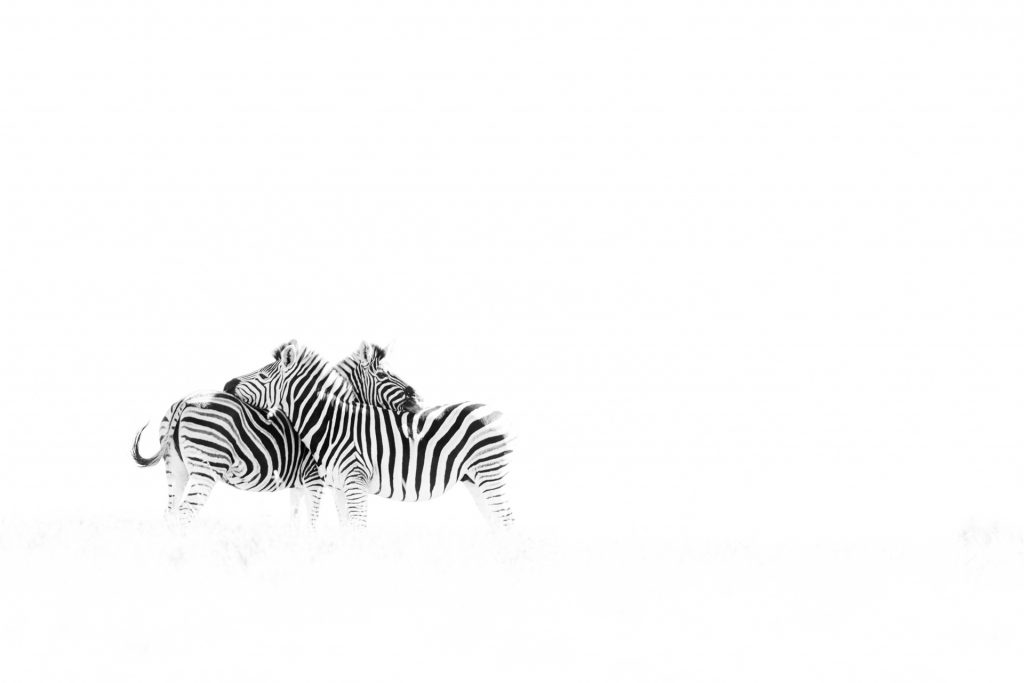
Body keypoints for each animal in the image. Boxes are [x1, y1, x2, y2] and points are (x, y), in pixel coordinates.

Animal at [132, 341, 420, 526]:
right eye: (383, 376)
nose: (416, 398)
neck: (330, 417)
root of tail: (186, 400)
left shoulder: (301, 483)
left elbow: (296, 520)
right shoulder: (315, 479)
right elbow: (313, 521)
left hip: (176, 467)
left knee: (170, 514)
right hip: (206, 466)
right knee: (186, 513)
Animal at [225, 340, 514, 528]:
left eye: (263, 376)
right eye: (383, 374)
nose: (227, 384)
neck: (332, 423)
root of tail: (496, 411)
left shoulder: (348, 482)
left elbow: (350, 528)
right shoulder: (336, 485)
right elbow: (343, 529)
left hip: (489, 474)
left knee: (506, 521)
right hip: (474, 479)